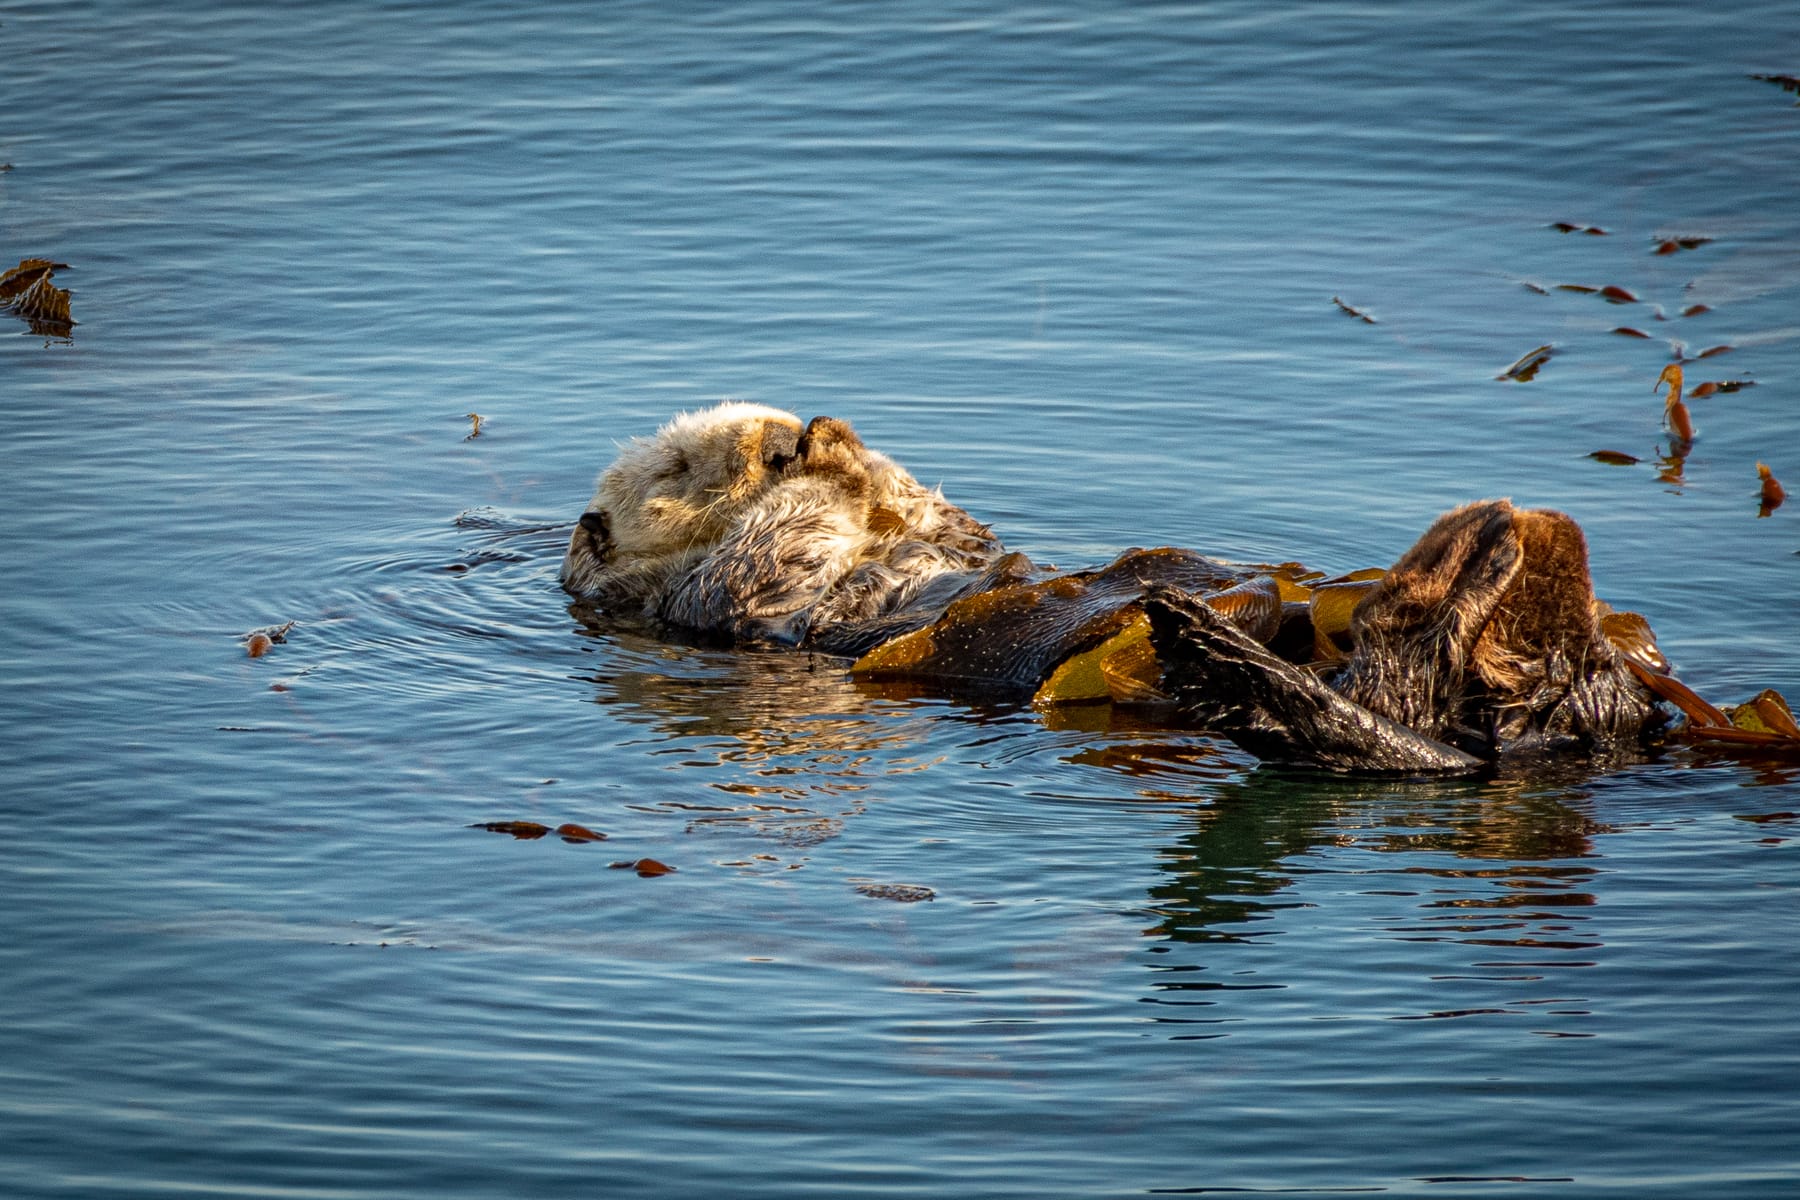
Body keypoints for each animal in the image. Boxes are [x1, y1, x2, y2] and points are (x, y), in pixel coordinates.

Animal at [562, 403, 1672, 772]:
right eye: (683, 468)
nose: (782, 439)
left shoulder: (944, 533)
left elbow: (957, 527)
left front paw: (851, 451)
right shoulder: (713, 603)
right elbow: (765, 561)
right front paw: (823, 471)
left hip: (1570, 688)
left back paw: (1511, 544)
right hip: (1396, 699)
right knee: (1387, 709)